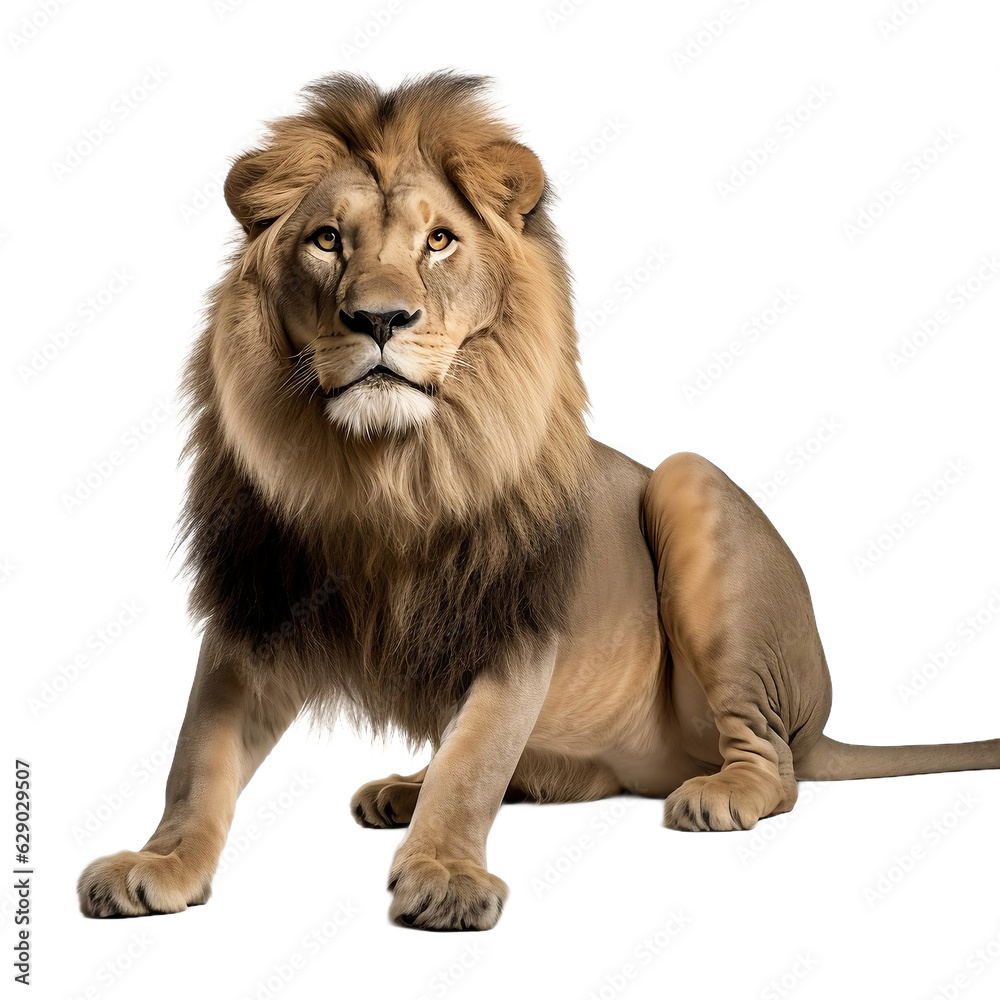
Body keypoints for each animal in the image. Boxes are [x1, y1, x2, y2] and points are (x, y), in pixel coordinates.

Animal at [77, 72, 999, 930]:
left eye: (439, 240)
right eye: (327, 239)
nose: (380, 319)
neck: (386, 473)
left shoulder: (516, 617)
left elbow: (475, 762)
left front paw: (445, 876)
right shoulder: (255, 609)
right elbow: (198, 758)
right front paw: (158, 862)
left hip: (692, 485)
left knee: (776, 762)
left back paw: (721, 792)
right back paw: (407, 788)